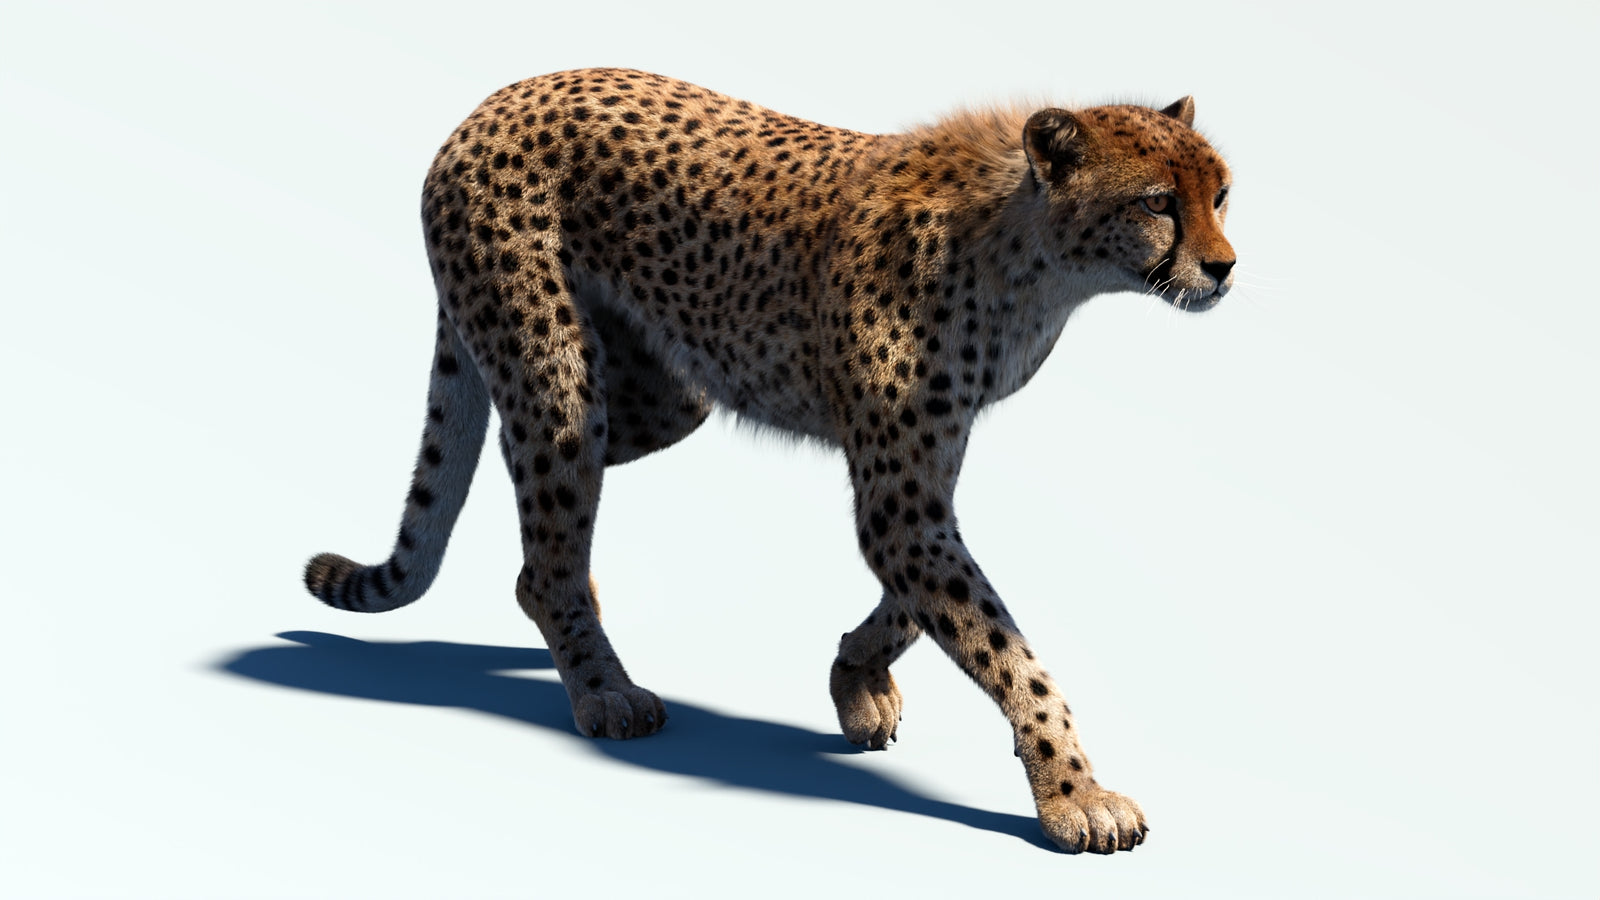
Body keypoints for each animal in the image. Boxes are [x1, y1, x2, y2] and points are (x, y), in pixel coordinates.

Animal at [303, 68, 1235, 854]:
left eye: (1222, 194)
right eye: (1159, 201)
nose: (1225, 267)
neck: (1034, 258)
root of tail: (494, 99)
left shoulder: (923, 474)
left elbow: (924, 608)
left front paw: (855, 679)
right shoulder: (900, 498)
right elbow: (1002, 645)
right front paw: (1074, 793)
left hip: (664, 393)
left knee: (528, 475)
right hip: (556, 372)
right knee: (543, 513)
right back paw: (602, 687)